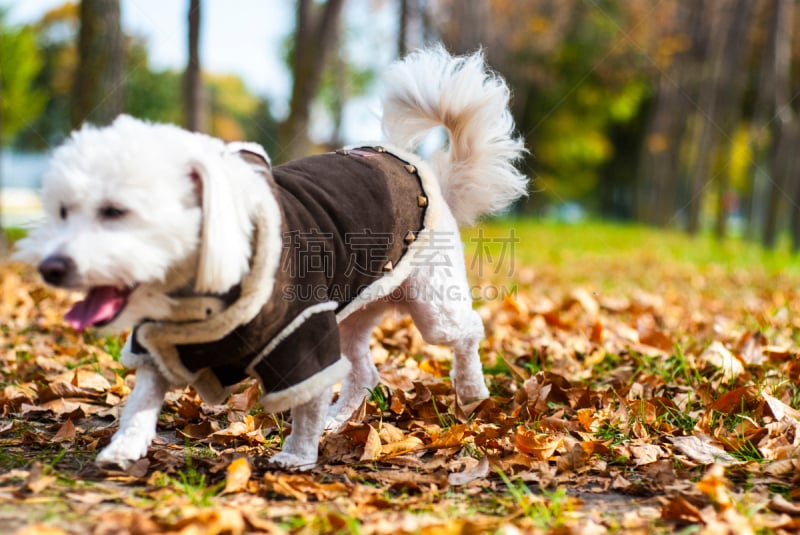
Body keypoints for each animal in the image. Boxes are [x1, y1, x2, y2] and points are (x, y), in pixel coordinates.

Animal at [15, 48, 528, 472]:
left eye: (115, 212)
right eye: (63, 211)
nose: (51, 267)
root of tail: (416, 165)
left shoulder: (303, 335)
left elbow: (305, 403)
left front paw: (298, 455)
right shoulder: (159, 342)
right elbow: (141, 399)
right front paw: (125, 445)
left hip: (430, 305)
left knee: (466, 333)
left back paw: (472, 392)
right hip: (349, 311)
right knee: (363, 373)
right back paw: (341, 419)